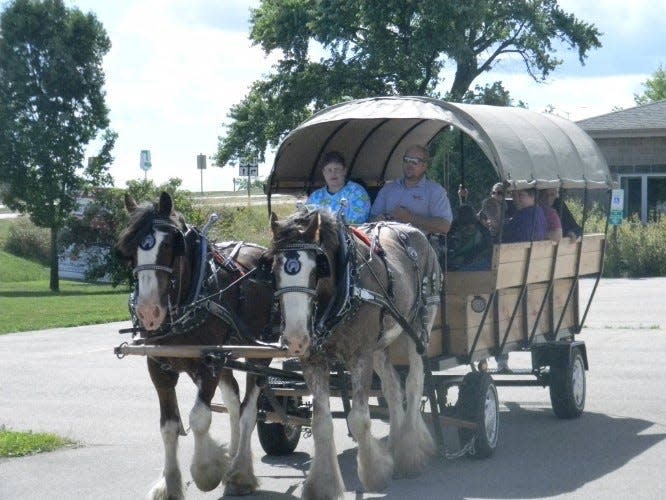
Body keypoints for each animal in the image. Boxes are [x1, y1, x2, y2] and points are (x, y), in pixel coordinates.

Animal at [114, 191, 272, 496]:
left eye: (169, 245)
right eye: (129, 249)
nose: (148, 312)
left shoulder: (209, 363)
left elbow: (199, 417)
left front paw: (205, 470)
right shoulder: (159, 366)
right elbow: (169, 426)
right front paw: (169, 484)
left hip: (259, 352)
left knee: (248, 410)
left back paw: (239, 472)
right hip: (227, 355)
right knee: (233, 400)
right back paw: (233, 457)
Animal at [268, 209, 444, 498]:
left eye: (318, 268)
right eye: (272, 269)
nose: (295, 339)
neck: (346, 285)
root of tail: (413, 230)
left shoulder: (360, 355)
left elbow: (359, 420)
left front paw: (375, 473)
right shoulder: (314, 361)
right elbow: (321, 423)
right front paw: (324, 486)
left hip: (420, 324)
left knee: (413, 383)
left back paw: (410, 453)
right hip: (380, 344)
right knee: (392, 387)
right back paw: (395, 446)